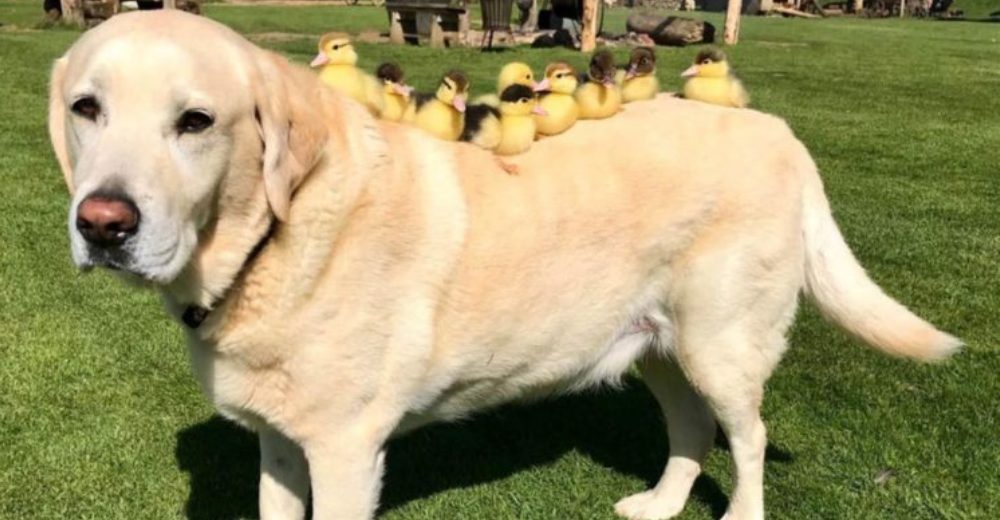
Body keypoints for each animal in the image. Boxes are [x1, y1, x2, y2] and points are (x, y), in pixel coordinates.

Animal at [50, 11, 964, 520]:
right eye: (85, 109)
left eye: (196, 121)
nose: (104, 225)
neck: (273, 240)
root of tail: (778, 130)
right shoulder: (280, 444)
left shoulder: (345, 453)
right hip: (658, 347)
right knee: (692, 429)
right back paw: (661, 506)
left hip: (721, 346)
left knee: (748, 436)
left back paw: (738, 515)